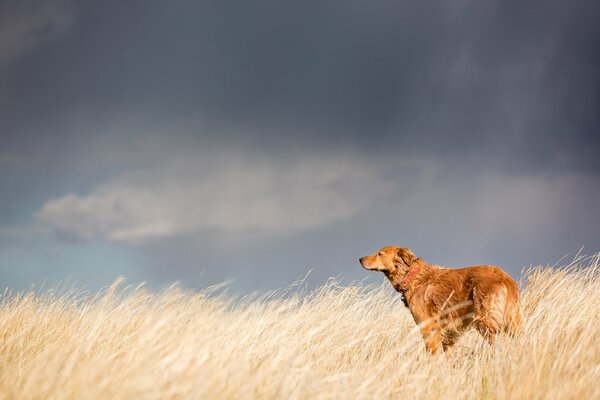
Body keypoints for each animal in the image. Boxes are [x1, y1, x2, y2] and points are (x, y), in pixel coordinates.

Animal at [360, 245, 520, 354]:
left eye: (380, 254)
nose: (360, 259)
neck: (413, 277)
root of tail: (506, 278)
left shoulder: (429, 328)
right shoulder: (448, 334)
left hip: (485, 320)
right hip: (512, 320)